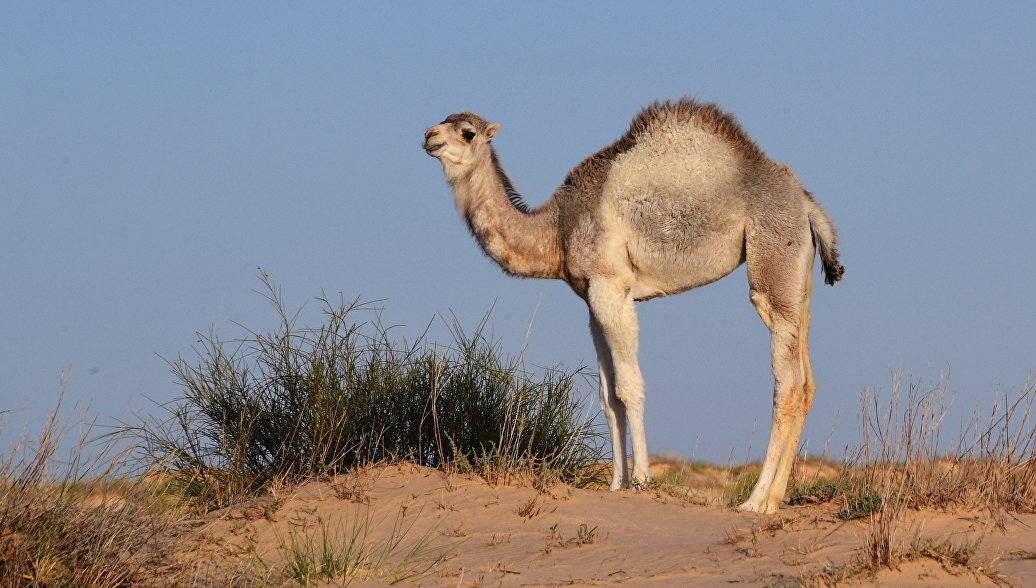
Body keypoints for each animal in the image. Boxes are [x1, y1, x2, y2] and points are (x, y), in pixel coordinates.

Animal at [420, 98, 841, 511]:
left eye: (467, 132)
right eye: (443, 120)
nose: (429, 135)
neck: (556, 230)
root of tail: (807, 204)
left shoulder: (611, 285)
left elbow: (629, 386)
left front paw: (640, 480)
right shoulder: (591, 297)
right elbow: (608, 397)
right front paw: (615, 485)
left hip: (772, 261)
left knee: (787, 382)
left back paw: (755, 502)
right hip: (799, 281)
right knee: (806, 381)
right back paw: (772, 500)